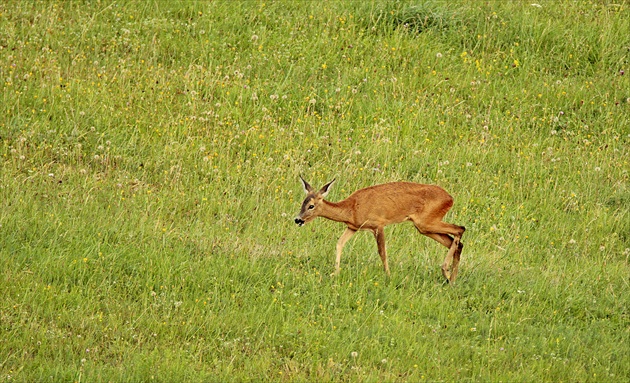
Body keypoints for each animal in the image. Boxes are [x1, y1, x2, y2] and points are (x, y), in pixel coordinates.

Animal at [294, 177, 466, 282]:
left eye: (311, 206)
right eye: (302, 202)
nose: (298, 219)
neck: (352, 209)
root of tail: (450, 198)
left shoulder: (378, 224)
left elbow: (382, 252)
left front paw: (388, 275)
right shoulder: (353, 227)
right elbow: (339, 243)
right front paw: (335, 273)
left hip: (426, 222)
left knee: (460, 229)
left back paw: (446, 271)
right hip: (425, 226)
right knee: (455, 241)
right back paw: (451, 279)